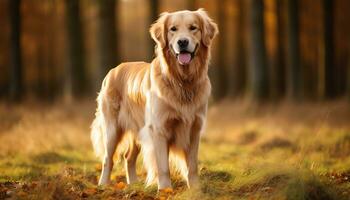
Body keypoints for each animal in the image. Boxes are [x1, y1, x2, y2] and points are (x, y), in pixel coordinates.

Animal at [91, 8, 216, 189]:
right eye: (173, 29)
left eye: (193, 28)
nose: (182, 42)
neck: (181, 82)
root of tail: (113, 70)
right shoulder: (159, 129)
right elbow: (163, 167)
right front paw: (165, 190)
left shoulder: (194, 129)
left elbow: (192, 166)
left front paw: (195, 189)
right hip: (112, 129)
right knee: (108, 159)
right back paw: (103, 184)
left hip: (137, 129)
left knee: (129, 157)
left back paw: (133, 184)